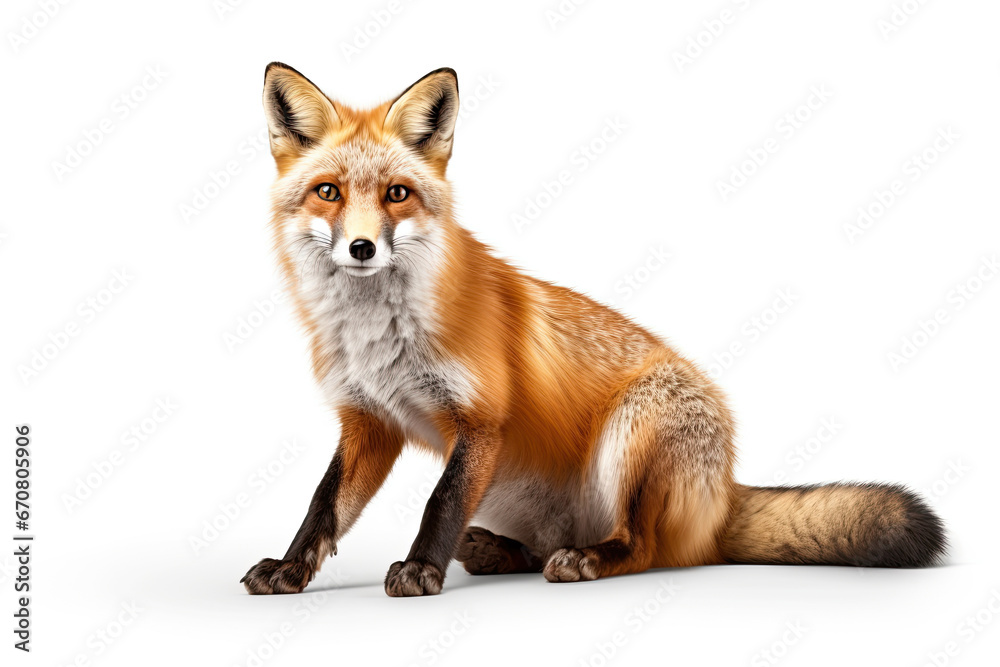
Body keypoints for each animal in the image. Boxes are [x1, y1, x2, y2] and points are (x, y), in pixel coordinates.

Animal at [241, 63, 946, 597]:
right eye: (328, 191)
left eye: (396, 194)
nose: (361, 248)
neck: (377, 338)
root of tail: (724, 490)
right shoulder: (369, 421)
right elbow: (323, 508)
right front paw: (290, 568)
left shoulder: (480, 419)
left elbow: (438, 504)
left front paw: (419, 569)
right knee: (546, 544)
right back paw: (501, 552)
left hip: (635, 428)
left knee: (645, 547)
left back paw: (589, 559)